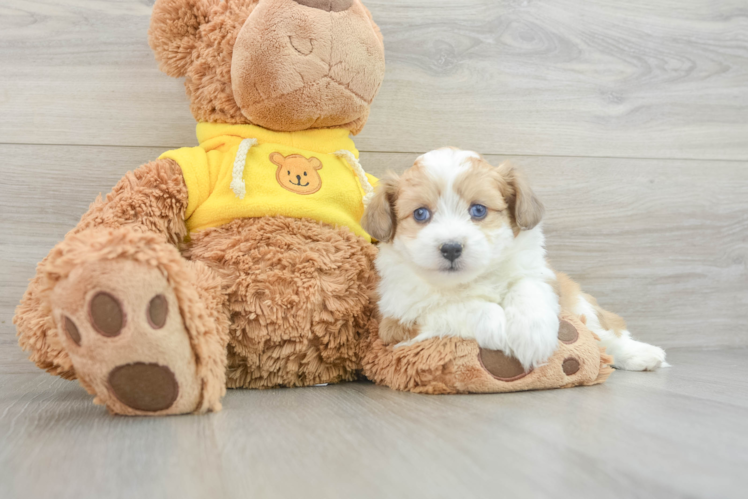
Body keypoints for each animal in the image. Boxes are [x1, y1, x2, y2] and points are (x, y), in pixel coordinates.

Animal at [362, 148, 668, 372]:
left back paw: (642, 354)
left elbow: (527, 287)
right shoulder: (397, 321)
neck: (469, 280)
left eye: (478, 210)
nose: (451, 248)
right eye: (420, 214)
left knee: (603, 334)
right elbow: (456, 307)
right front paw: (498, 326)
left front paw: (533, 336)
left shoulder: (539, 273)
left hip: (579, 301)